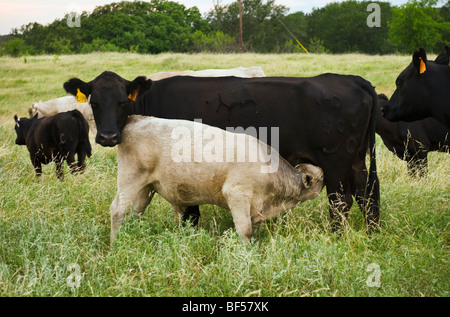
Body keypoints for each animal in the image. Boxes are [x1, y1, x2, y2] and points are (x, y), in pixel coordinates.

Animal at [110, 115, 322, 242]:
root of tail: (137, 118)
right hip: (129, 181)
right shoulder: (236, 193)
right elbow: (245, 230)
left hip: (146, 188)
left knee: (136, 212)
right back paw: (115, 244)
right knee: (117, 211)